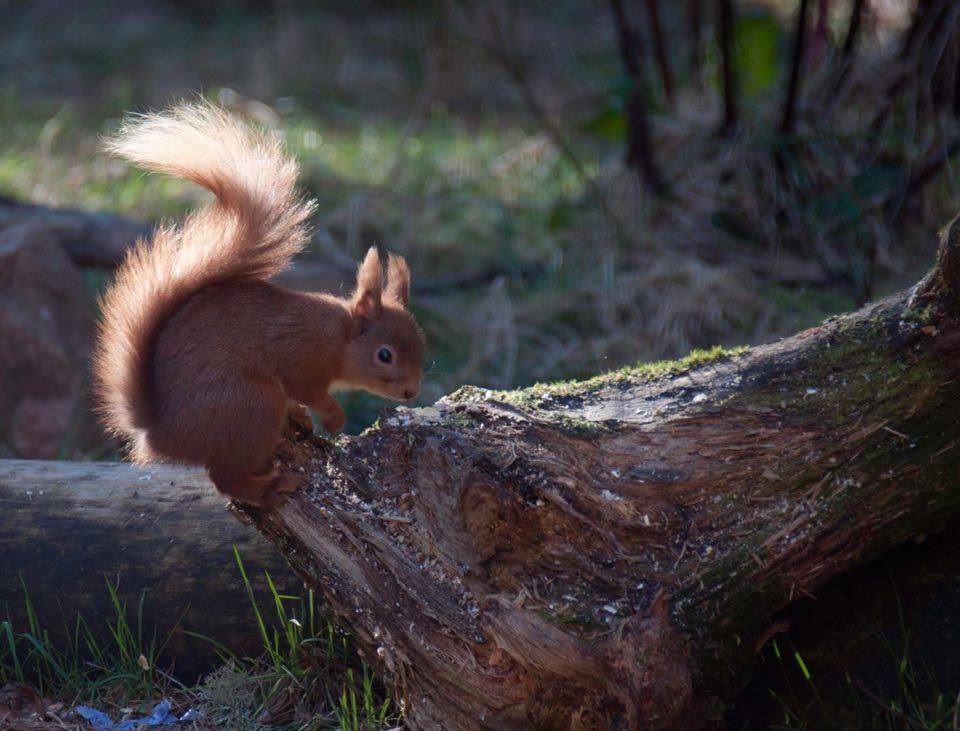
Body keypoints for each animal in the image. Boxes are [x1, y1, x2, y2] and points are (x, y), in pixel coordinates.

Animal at [93, 103, 424, 506]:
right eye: (385, 355)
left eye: (422, 345)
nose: (411, 392)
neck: (335, 337)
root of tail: (158, 433)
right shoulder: (299, 359)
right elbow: (310, 391)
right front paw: (333, 418)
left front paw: (304, 417)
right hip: (252, 405)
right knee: (225, 479)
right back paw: (271, 485)